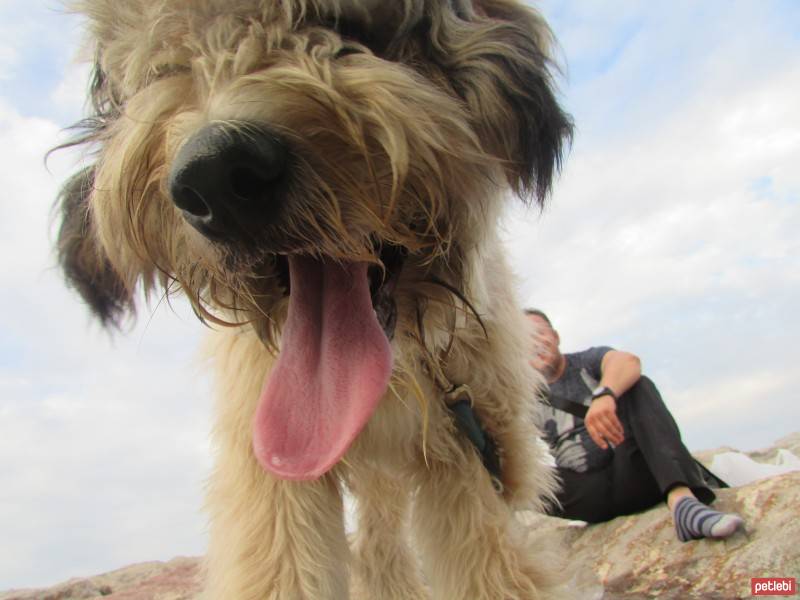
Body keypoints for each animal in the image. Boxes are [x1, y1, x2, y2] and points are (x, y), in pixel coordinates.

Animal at [54, 2, 568, 596]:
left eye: (343, 23)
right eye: (167, 65)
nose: (216, 175)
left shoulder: (468, 454)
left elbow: (493, 566)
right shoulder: (270, 466)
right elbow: (278, 568)